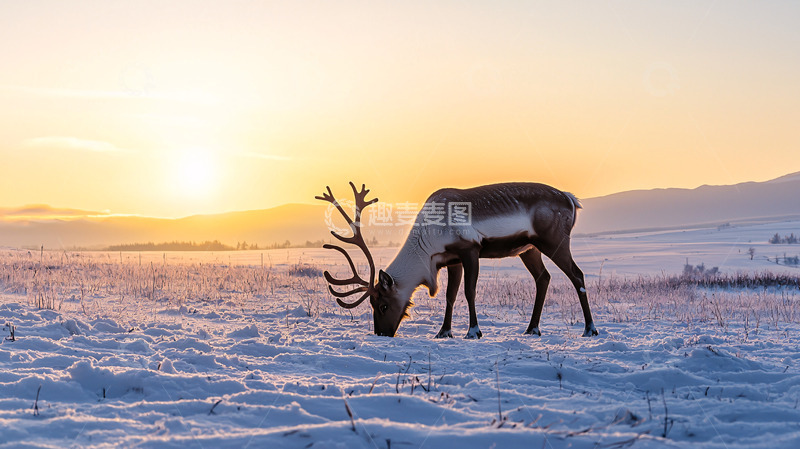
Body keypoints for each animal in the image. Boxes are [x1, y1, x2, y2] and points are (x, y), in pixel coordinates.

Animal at [316, 182, 598, 339]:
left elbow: (469, 292)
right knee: (543, 278)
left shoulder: (470, 250)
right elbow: (450, 295)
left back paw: (590, 328)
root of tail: (571, 199)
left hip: (553, 241)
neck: (428, 242)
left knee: (577, 275)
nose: (381, 333)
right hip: (528, 249)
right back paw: (532, 329)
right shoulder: (451, 260)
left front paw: (473, 332)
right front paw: (443, 332)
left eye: (383, 305)